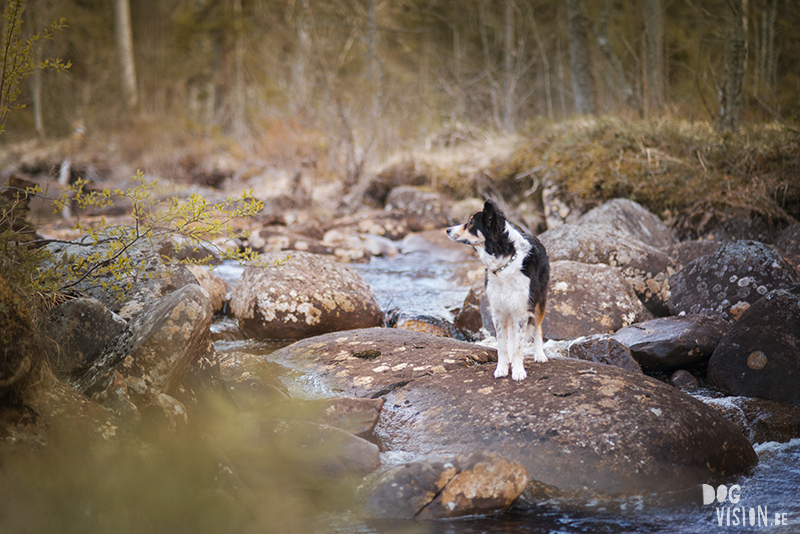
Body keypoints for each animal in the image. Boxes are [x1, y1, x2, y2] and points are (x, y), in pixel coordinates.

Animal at [444, 200, 552, 382]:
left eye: (471, 223)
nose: (447, 230)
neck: (504, 263)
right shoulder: (499, 310)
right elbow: (502, 344)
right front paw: (502, 368)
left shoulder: (520, 311)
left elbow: (519, 345)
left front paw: (518, 371)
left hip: (538, 300)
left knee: (538, 328)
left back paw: (539, 355)